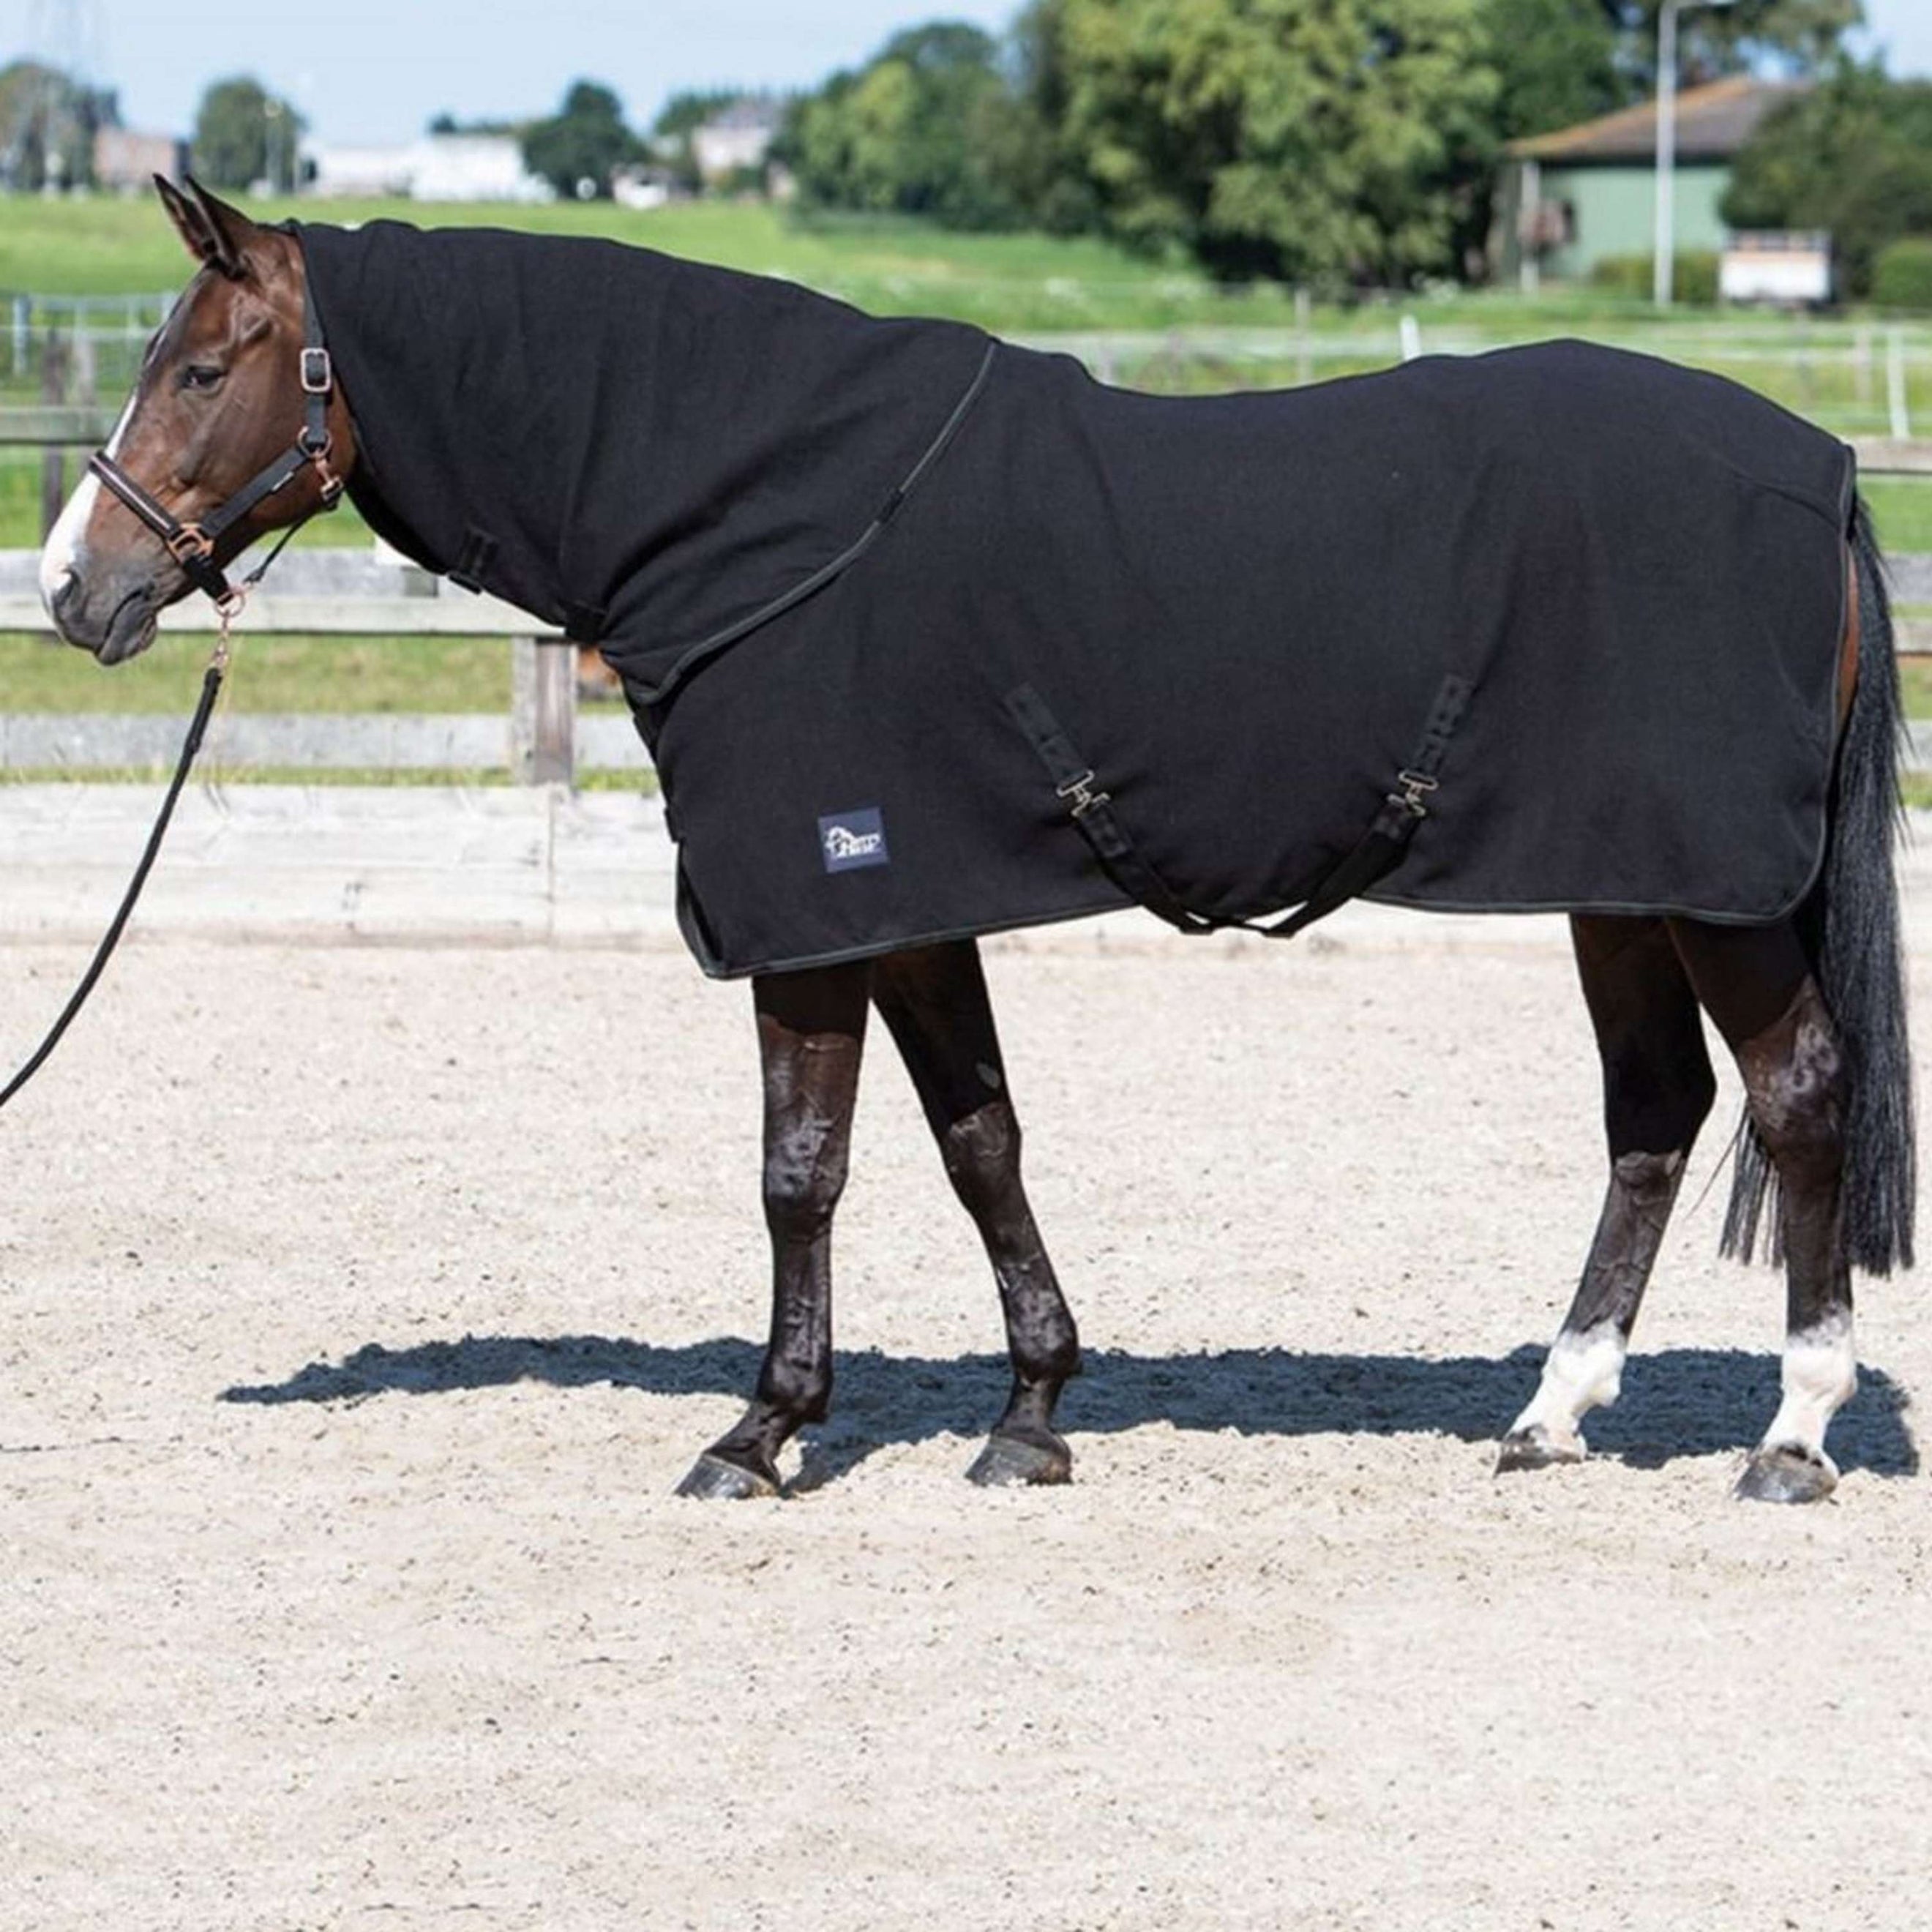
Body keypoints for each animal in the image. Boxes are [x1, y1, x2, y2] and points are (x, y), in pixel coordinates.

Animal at [39, 178, 1915, 1505]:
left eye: (199, 367)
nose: (73, 586)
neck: (761, 504)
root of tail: (1816, 471)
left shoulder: (813, 916)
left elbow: (803, 1170)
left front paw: (762, 1431)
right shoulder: (910, 906)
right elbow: (978, 1141)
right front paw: (1028, 1415)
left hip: (1711, 897)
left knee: (1798, 1093)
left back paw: (1792, 1431)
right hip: (1626, 881)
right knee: (1655, 1116)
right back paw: (1550, 1410)